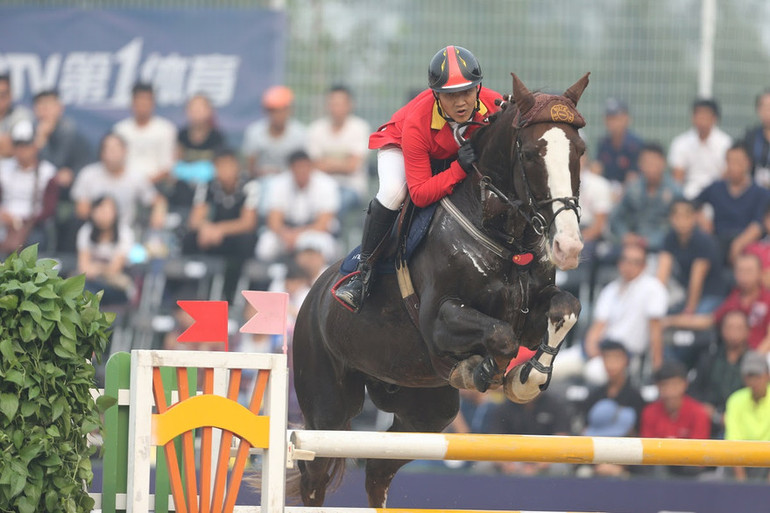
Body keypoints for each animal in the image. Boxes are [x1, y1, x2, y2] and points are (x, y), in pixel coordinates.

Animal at [292, 73, 588, 508]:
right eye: (532, 153)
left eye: (579, 151)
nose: (568, 247)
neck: (503, 235)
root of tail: (310, 299)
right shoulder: (438, 321)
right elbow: (499, 336)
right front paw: (482, 371)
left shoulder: (532, 318)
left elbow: (565, 307)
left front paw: (525, 379)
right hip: (326, 408)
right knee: (313, 473)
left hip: (426, 410)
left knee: (378, 466)